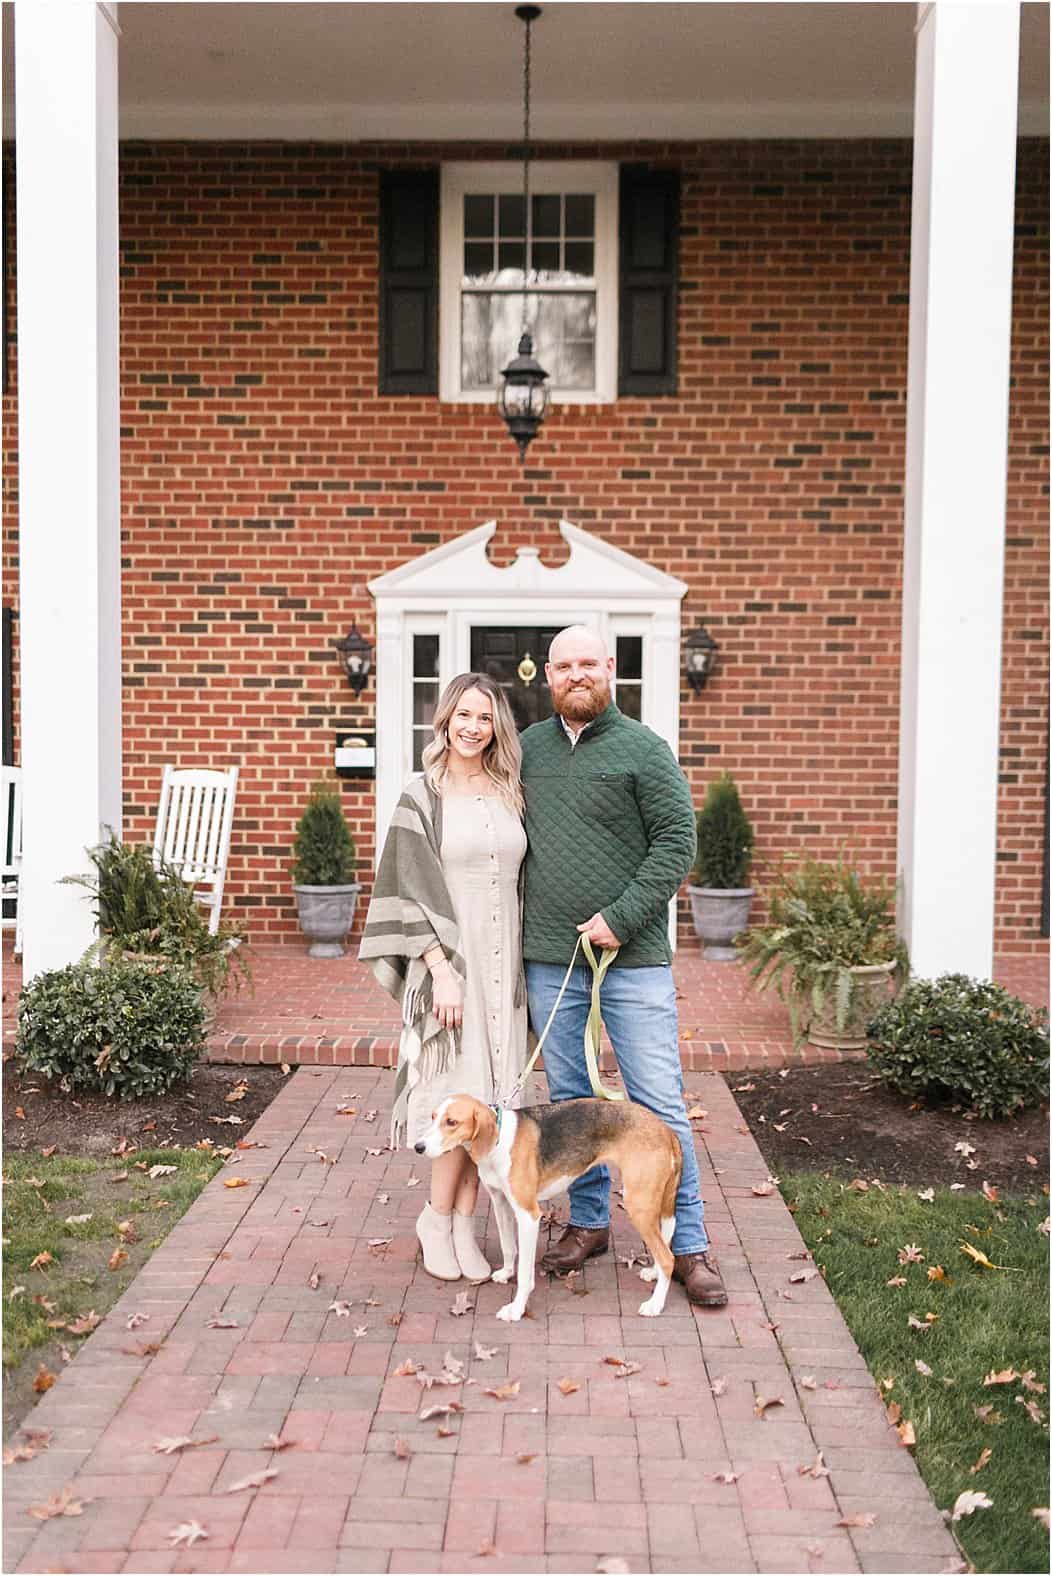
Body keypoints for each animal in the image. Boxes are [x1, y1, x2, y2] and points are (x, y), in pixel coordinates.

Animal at [415, 1096, 683, 1317]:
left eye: (452, 1122)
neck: (499, 1141)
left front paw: (516, 1309)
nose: (418, 1147)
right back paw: (654, 1273)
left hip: (638, 1205)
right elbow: (508, 1247)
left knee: (668, 1258)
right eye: (433, 1117)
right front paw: (506, 1273)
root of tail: (665, 1129)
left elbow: (525, 1274)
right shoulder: (501, 1205)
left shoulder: (529, 1216)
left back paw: (655, 1304)